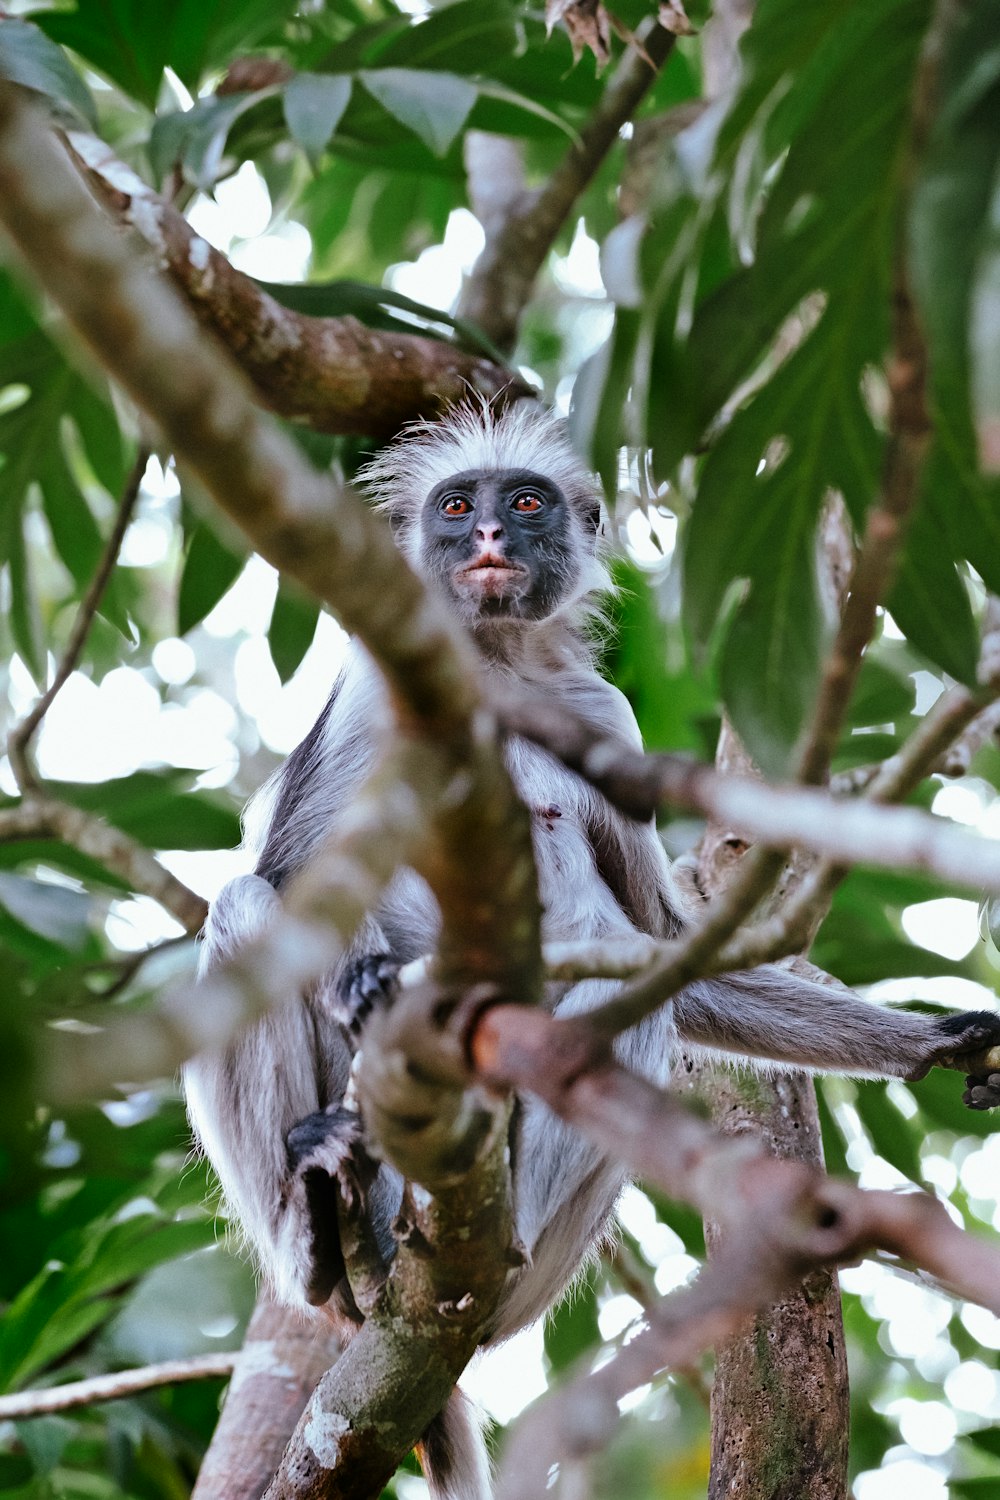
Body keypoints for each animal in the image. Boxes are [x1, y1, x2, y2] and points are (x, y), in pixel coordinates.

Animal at [183, 402, 1000, 1500]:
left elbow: (663, 954)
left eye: (526, 504)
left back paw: (483, 1247)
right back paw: (318, 1235)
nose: (490, 535)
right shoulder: (366, 692)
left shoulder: (601, 717)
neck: (493, 669)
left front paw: (935, 1041)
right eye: (457, 507)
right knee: (245, 903)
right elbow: (291, 875)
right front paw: (362, 977)